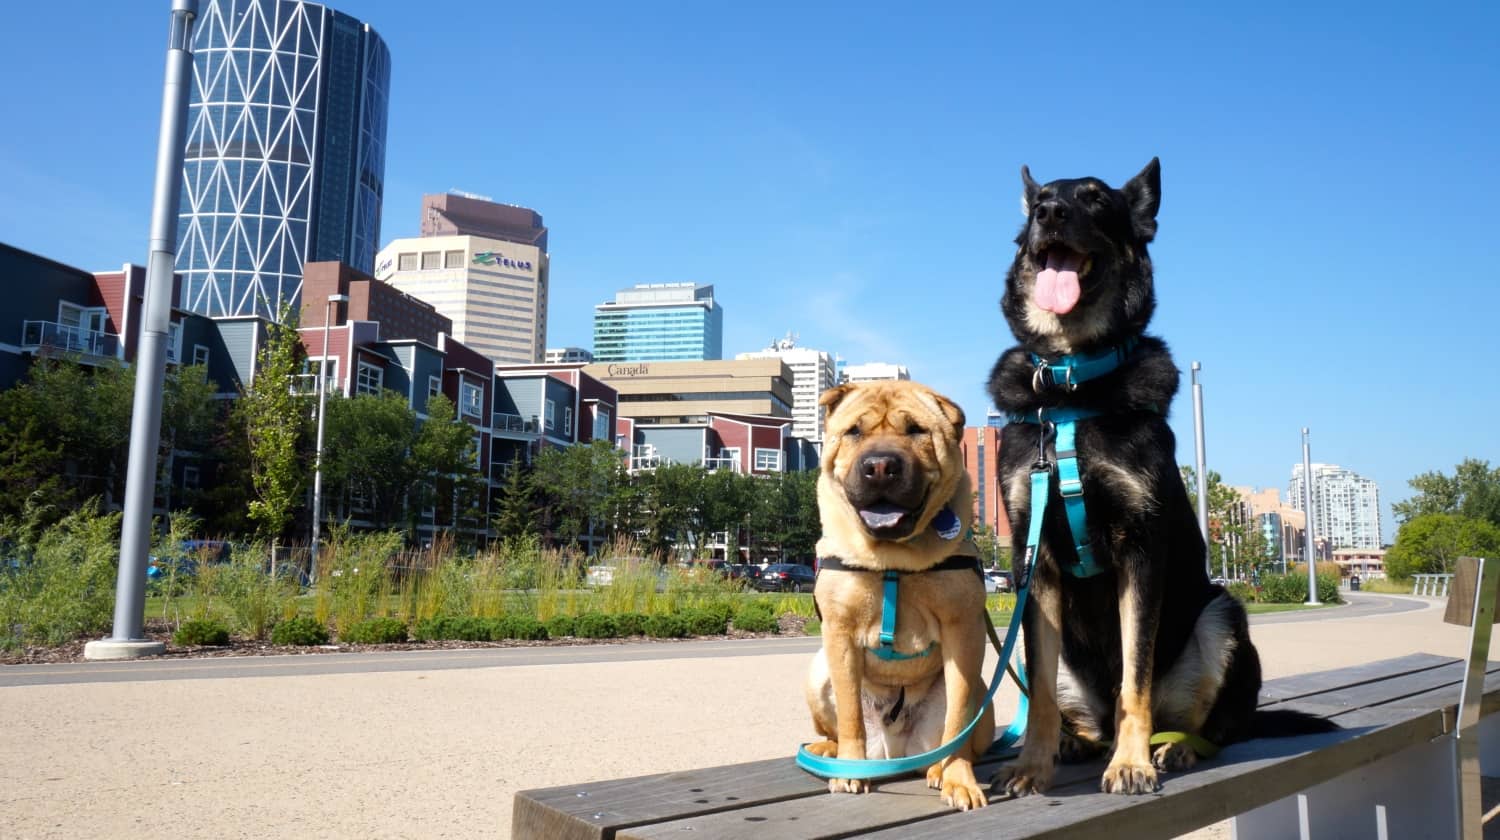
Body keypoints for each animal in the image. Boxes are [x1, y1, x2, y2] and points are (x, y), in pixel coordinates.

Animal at [810, 382, 996, 816]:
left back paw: (938, 769)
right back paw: (828, 750)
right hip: (816, 672)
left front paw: (960, 780)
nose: (880, 465)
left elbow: (958, 719)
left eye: (915, 430)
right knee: (836, 725)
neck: (893, 559)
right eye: (854, 431)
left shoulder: (964, 632)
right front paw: (850, 769)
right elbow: (849, 714)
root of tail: (894, 749)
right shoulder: (839, 633)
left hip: (982, 693)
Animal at [990, 160, 1332, 798]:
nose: (1049, 213)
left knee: (1217, 726)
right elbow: (1042, 695)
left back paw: (1173, 749)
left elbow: (1135, 678)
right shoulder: (1034, 561)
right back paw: (1077, 743)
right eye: (1041, 199)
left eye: (1096, 200)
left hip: (1223, 614)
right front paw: (1031, 766)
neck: (1071, 382)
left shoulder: (1141, 548)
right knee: (1079, 710)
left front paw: (1131, 764)